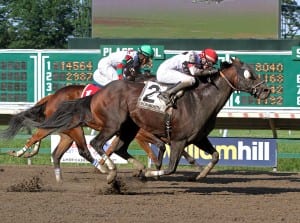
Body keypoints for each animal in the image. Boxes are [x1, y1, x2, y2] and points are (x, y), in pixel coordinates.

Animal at [33, 57, 270, 183]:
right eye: (249, 75)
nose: (266, 90)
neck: (201, 100)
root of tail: (97, 94)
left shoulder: (198, 138)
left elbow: (215, 156)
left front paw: (199, 175)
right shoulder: (178, 140)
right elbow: (170, 167)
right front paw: (150, 172)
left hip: (125, 129)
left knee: (115, 148)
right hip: (111, 125)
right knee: (96, 144)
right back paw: (110, 171)